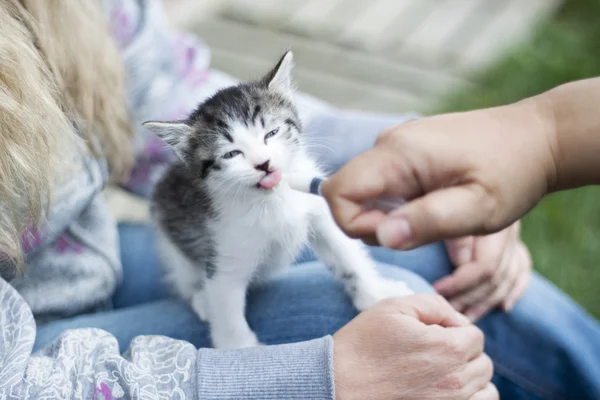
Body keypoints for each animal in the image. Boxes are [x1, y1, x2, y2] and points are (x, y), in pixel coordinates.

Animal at [144, 50, 412, 350]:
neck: (271, 200)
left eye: (271, 133)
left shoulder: (317, 211)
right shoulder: (225, 249)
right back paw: (200, 298)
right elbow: (225, 303)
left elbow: (345, 252)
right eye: (231, 154)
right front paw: (239, 348)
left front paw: (377, 293)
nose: (263, 164)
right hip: (169, 232)